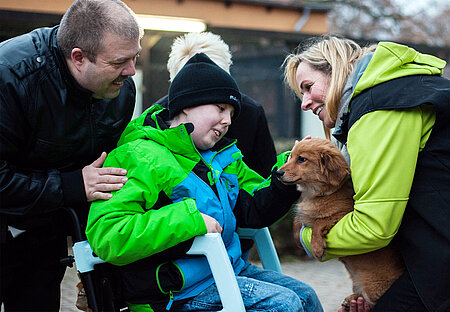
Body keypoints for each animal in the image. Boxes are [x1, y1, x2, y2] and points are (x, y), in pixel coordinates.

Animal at [278, 138, 404, 310]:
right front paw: (298, 236)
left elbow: (320, 222)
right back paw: (352, 299)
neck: (318, 194)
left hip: (372, 286)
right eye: (290, 156)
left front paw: (316, 247)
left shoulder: (346, 215)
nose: (277, 173)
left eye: (301, 159)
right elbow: (298, 220)